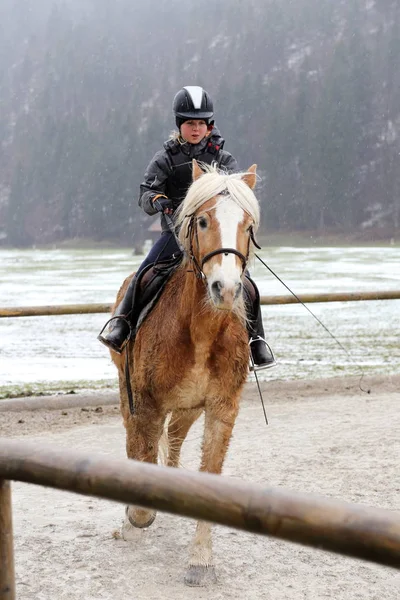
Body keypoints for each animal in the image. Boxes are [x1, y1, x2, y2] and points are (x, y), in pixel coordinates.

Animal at [110, 159, 260, 584]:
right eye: (204, 220)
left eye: (248, 225)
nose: (226, 288)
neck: (200, 332)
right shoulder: (145, 403)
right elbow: (142, 460)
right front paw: (134, 519)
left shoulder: (221, 408)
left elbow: (209, 471)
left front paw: (200, 560)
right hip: (130, 395)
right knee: (138, 442)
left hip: (189, 408)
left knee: (174, 441)